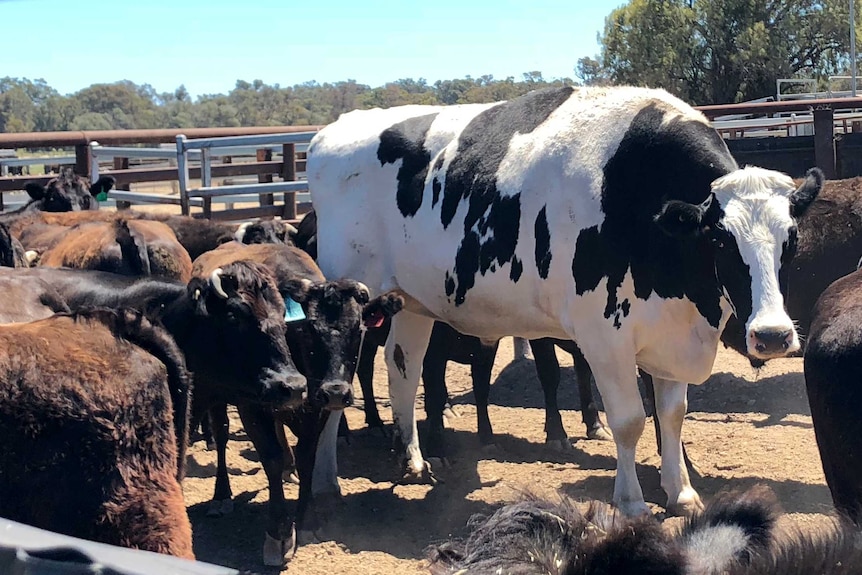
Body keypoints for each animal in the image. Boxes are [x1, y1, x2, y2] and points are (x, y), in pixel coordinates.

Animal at [308, 86, 824, 516]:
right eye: (719, 240)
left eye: (792, 239)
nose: (773, 335)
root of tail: (332, 132)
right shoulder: (604, 336)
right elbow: (630, 420)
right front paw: (631, 501)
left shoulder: (671, 333)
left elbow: (672, 415)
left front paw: (681, 493)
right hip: (352, 299)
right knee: (344, 378)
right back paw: (325, 481)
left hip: (413, 302)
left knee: (402, 369)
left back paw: (413, 461)